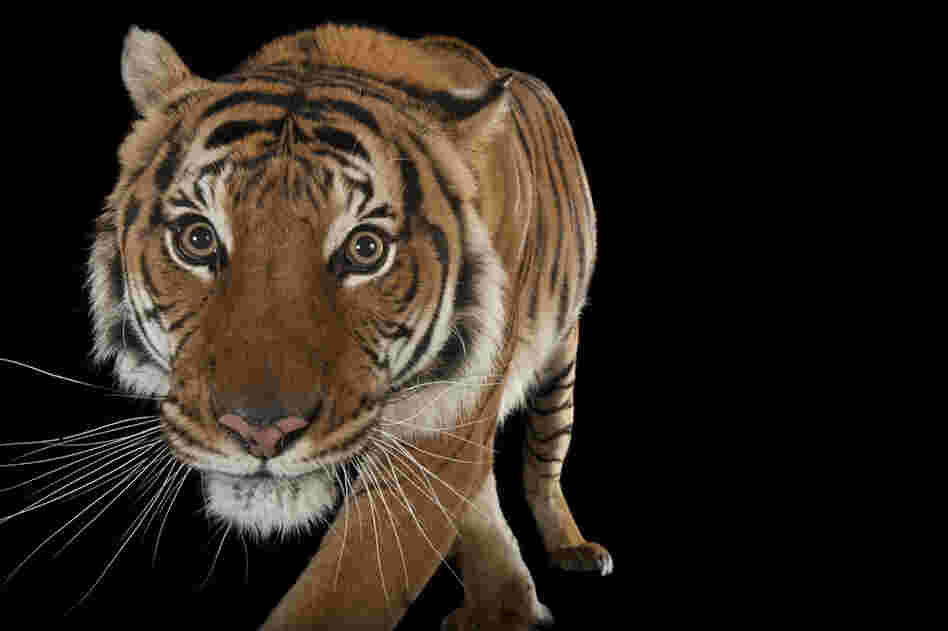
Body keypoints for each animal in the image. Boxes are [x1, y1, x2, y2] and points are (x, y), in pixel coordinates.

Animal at [86, 24, 612, 630]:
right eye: (197, 239)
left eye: (366, 250)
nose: (260, 432)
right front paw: (506, 605)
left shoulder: (446, 421)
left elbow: (352, 582)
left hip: (561, 364)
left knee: (545, 457)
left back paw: (573, 547)